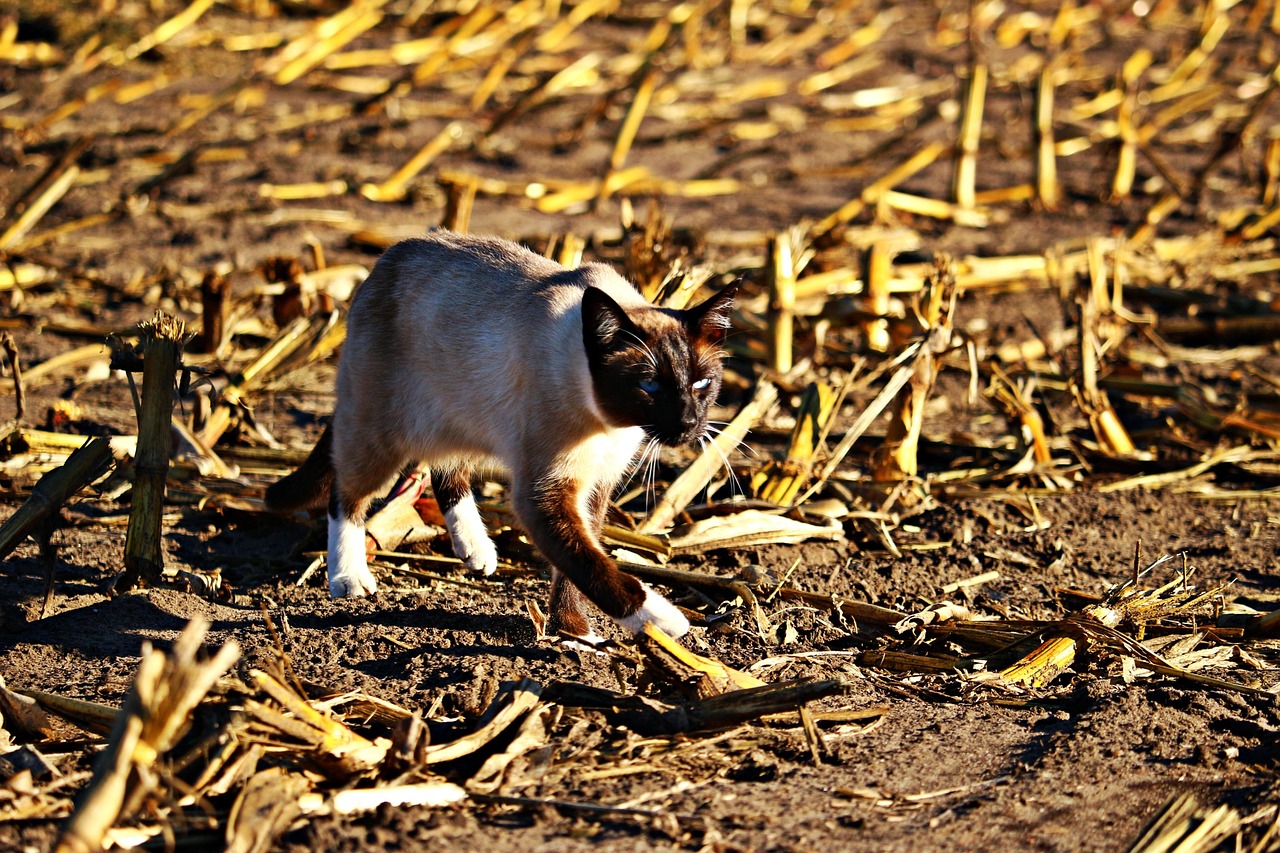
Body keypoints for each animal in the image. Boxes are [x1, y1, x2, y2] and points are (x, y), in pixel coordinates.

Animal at [264, 229, 737, 640]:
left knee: (446, 472)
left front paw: (573, 631)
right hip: (382, 436)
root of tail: (386, 260)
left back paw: (478, 552)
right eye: (650, 386)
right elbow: (593, 566)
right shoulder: (545, 494)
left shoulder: (596, 485)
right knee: (346, 495)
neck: (610, 426)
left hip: (458, 416)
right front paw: (665, 623)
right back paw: (348, 578)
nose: (688, 423)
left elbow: (575, 565)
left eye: (702, 384)